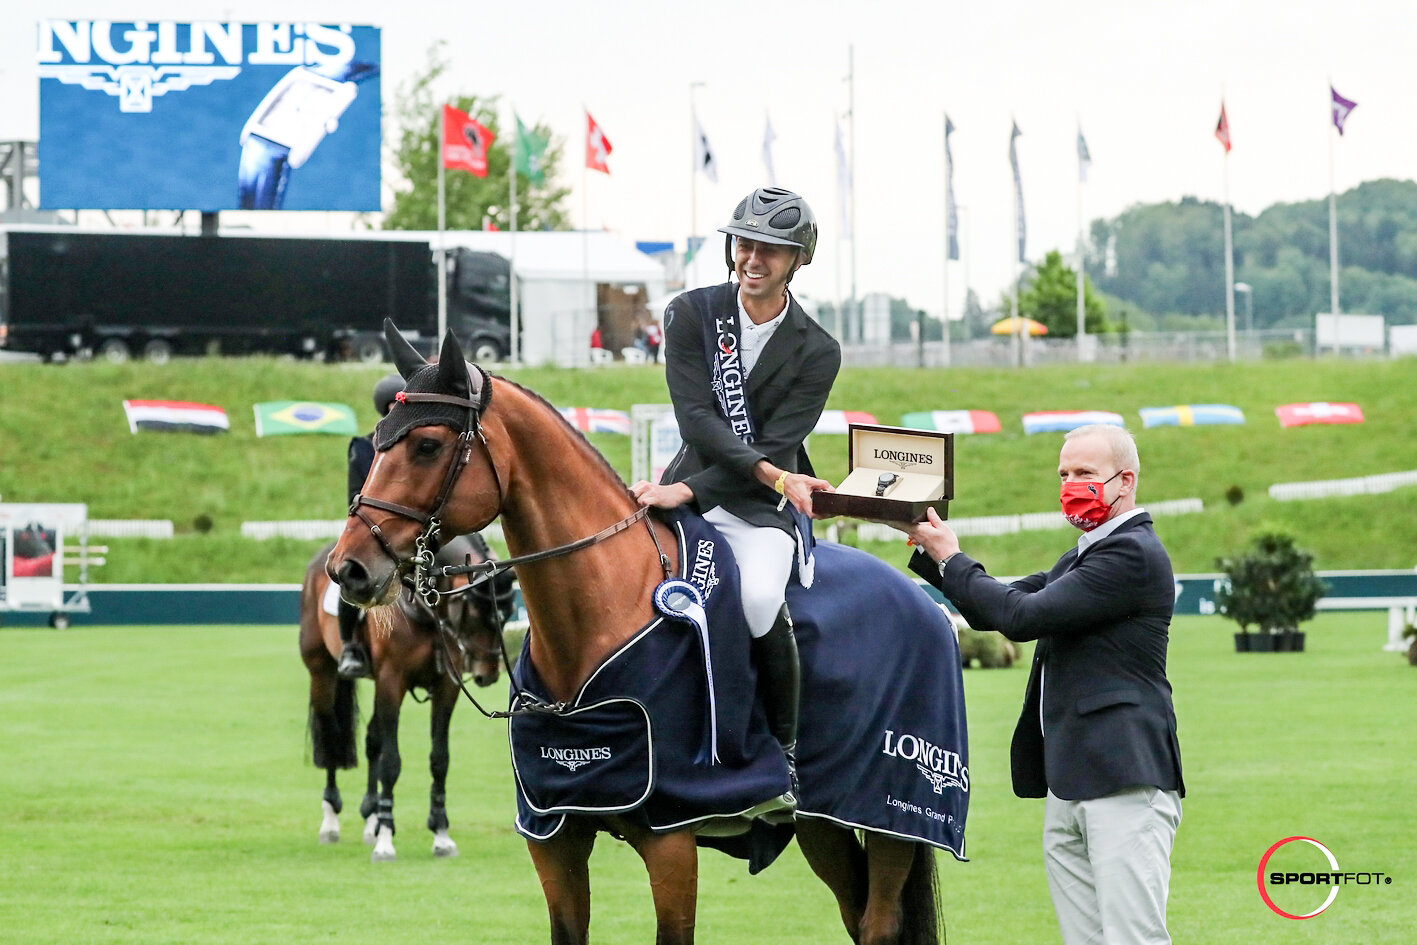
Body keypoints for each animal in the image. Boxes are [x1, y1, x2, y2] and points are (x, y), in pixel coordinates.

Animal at [298, 535, 515, 861]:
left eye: (508, 614)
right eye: (478, 613)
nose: (487, 673)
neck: (427, 611)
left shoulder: (445, 688)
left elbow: (439, 759)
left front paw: (440, 833)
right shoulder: (392, 684)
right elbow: (391, 762)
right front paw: (386, 838)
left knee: (372, 742)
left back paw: (371, 818)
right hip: (321, 672)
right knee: (331, 737)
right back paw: (331, 819)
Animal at [328, 327, 963, 945]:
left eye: (427, 446)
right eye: (377, 442)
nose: (348, 569)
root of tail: (925, 603)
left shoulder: (672, 840)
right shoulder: (554, 835)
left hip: (894, 813)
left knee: (878, 923)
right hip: (824, 823)